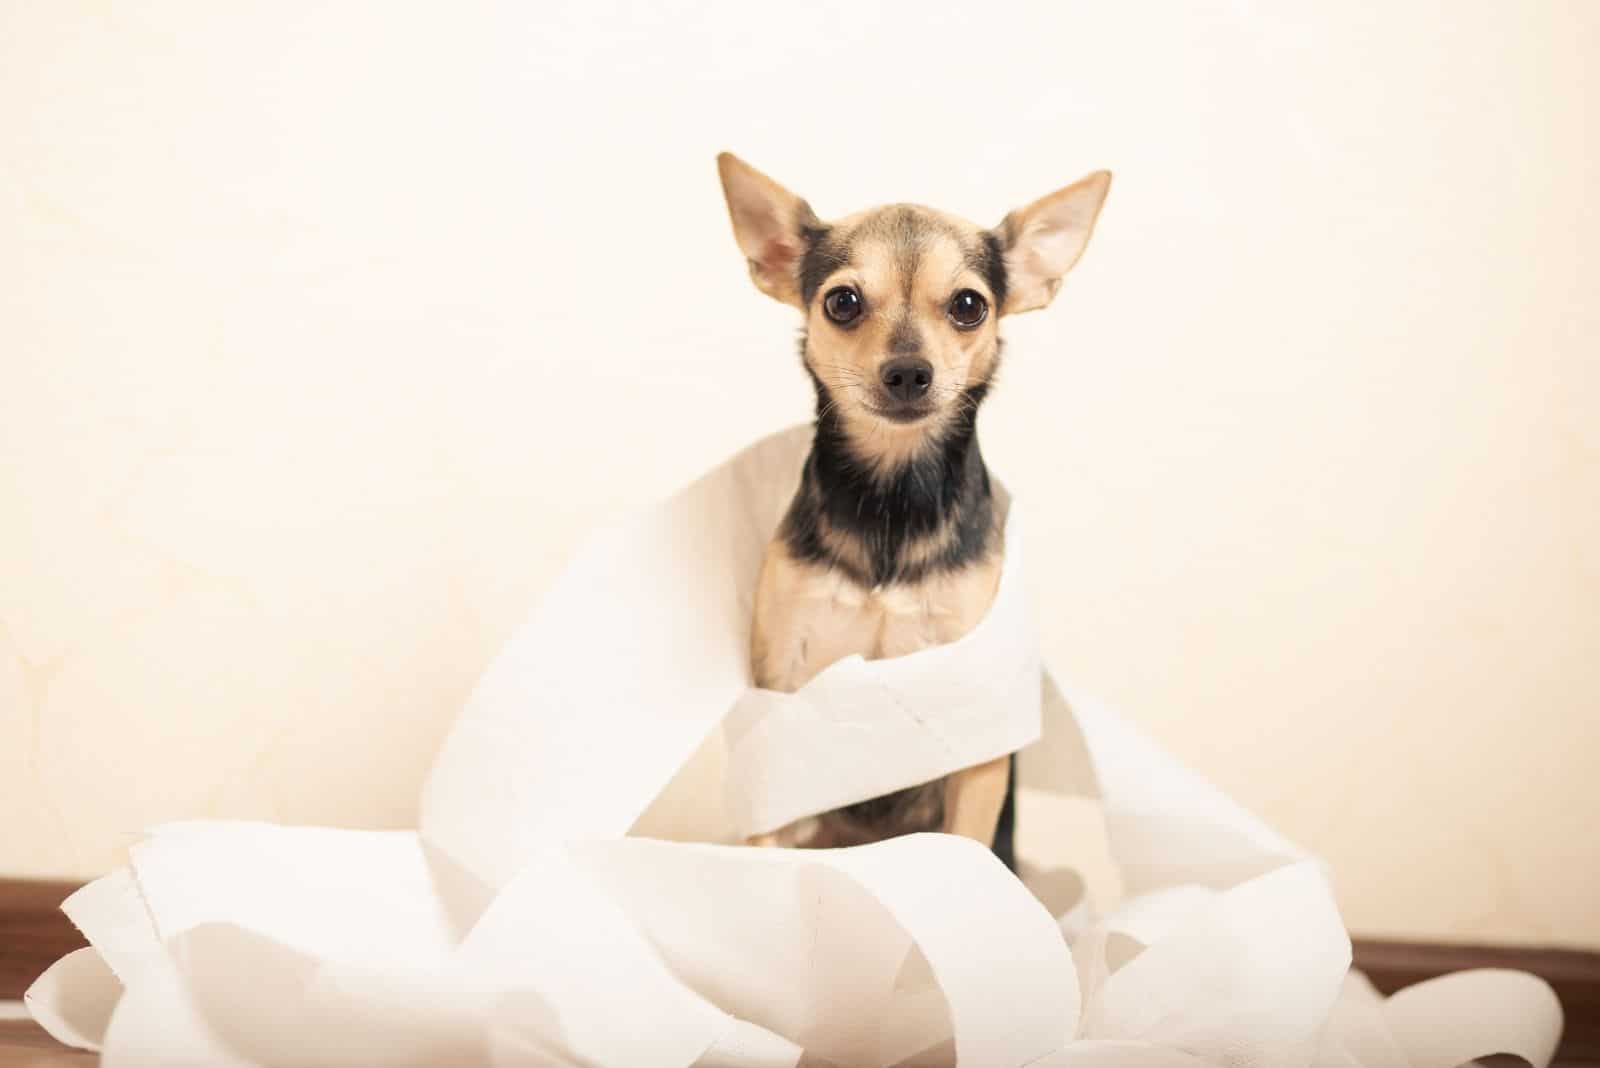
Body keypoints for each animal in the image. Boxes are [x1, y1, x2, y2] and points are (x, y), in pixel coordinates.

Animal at [716, 150, 1107, 856]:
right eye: (842, 302)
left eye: (969, 306)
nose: (907, 371)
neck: (893, 497)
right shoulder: (782, 708)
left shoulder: (977, 752)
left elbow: (966, 845)